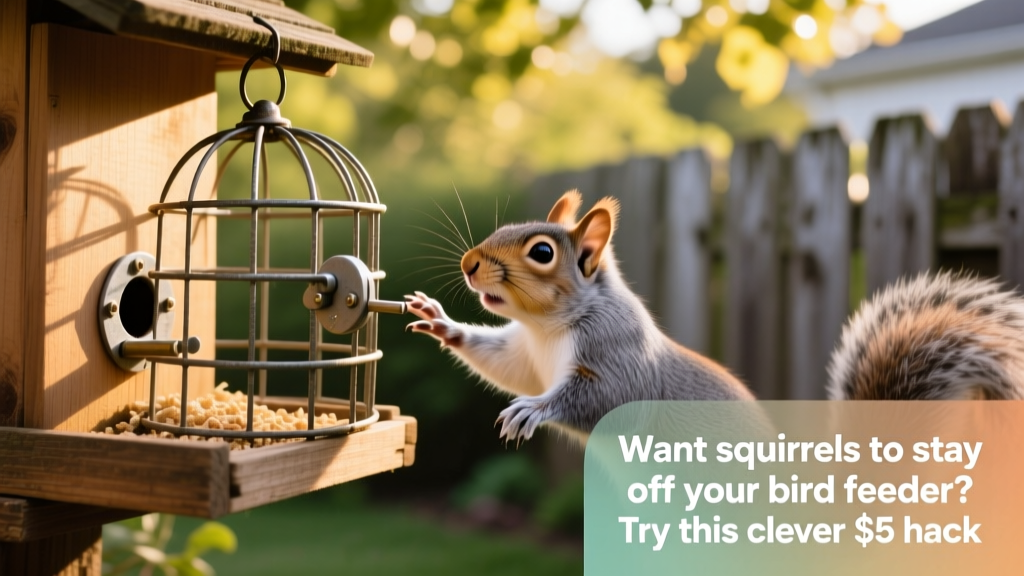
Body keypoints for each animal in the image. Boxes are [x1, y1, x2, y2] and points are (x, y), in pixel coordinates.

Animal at [405, 190, 753, 443]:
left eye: (542, 252)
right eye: (503, 229)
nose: (468, 263)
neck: (546, 329)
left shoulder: (618, 348)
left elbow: (617, 398)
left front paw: (532, 408)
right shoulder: (524, 354)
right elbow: (503, 363)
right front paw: (443, 323)